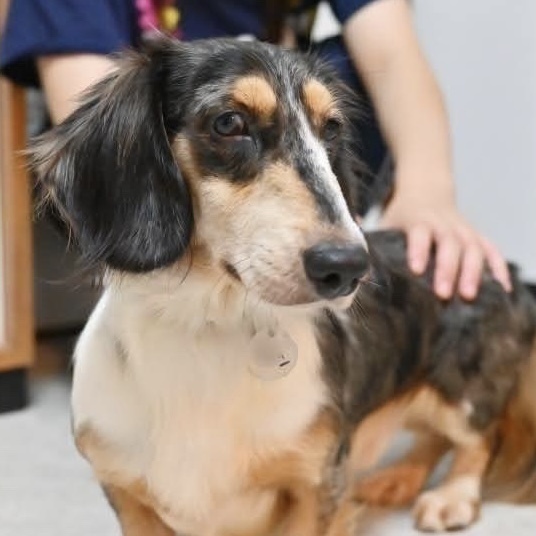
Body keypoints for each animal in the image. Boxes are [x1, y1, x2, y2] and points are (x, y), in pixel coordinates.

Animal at [29, 37, 536, 536]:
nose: (347, 267)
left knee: (478, 438)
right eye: (229, 122)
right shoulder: (127, 494)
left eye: (331, 128)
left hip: (458, 391)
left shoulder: (315, 483)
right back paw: (398, 479)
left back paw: (452, 496)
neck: (205, 326)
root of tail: (508, 270)